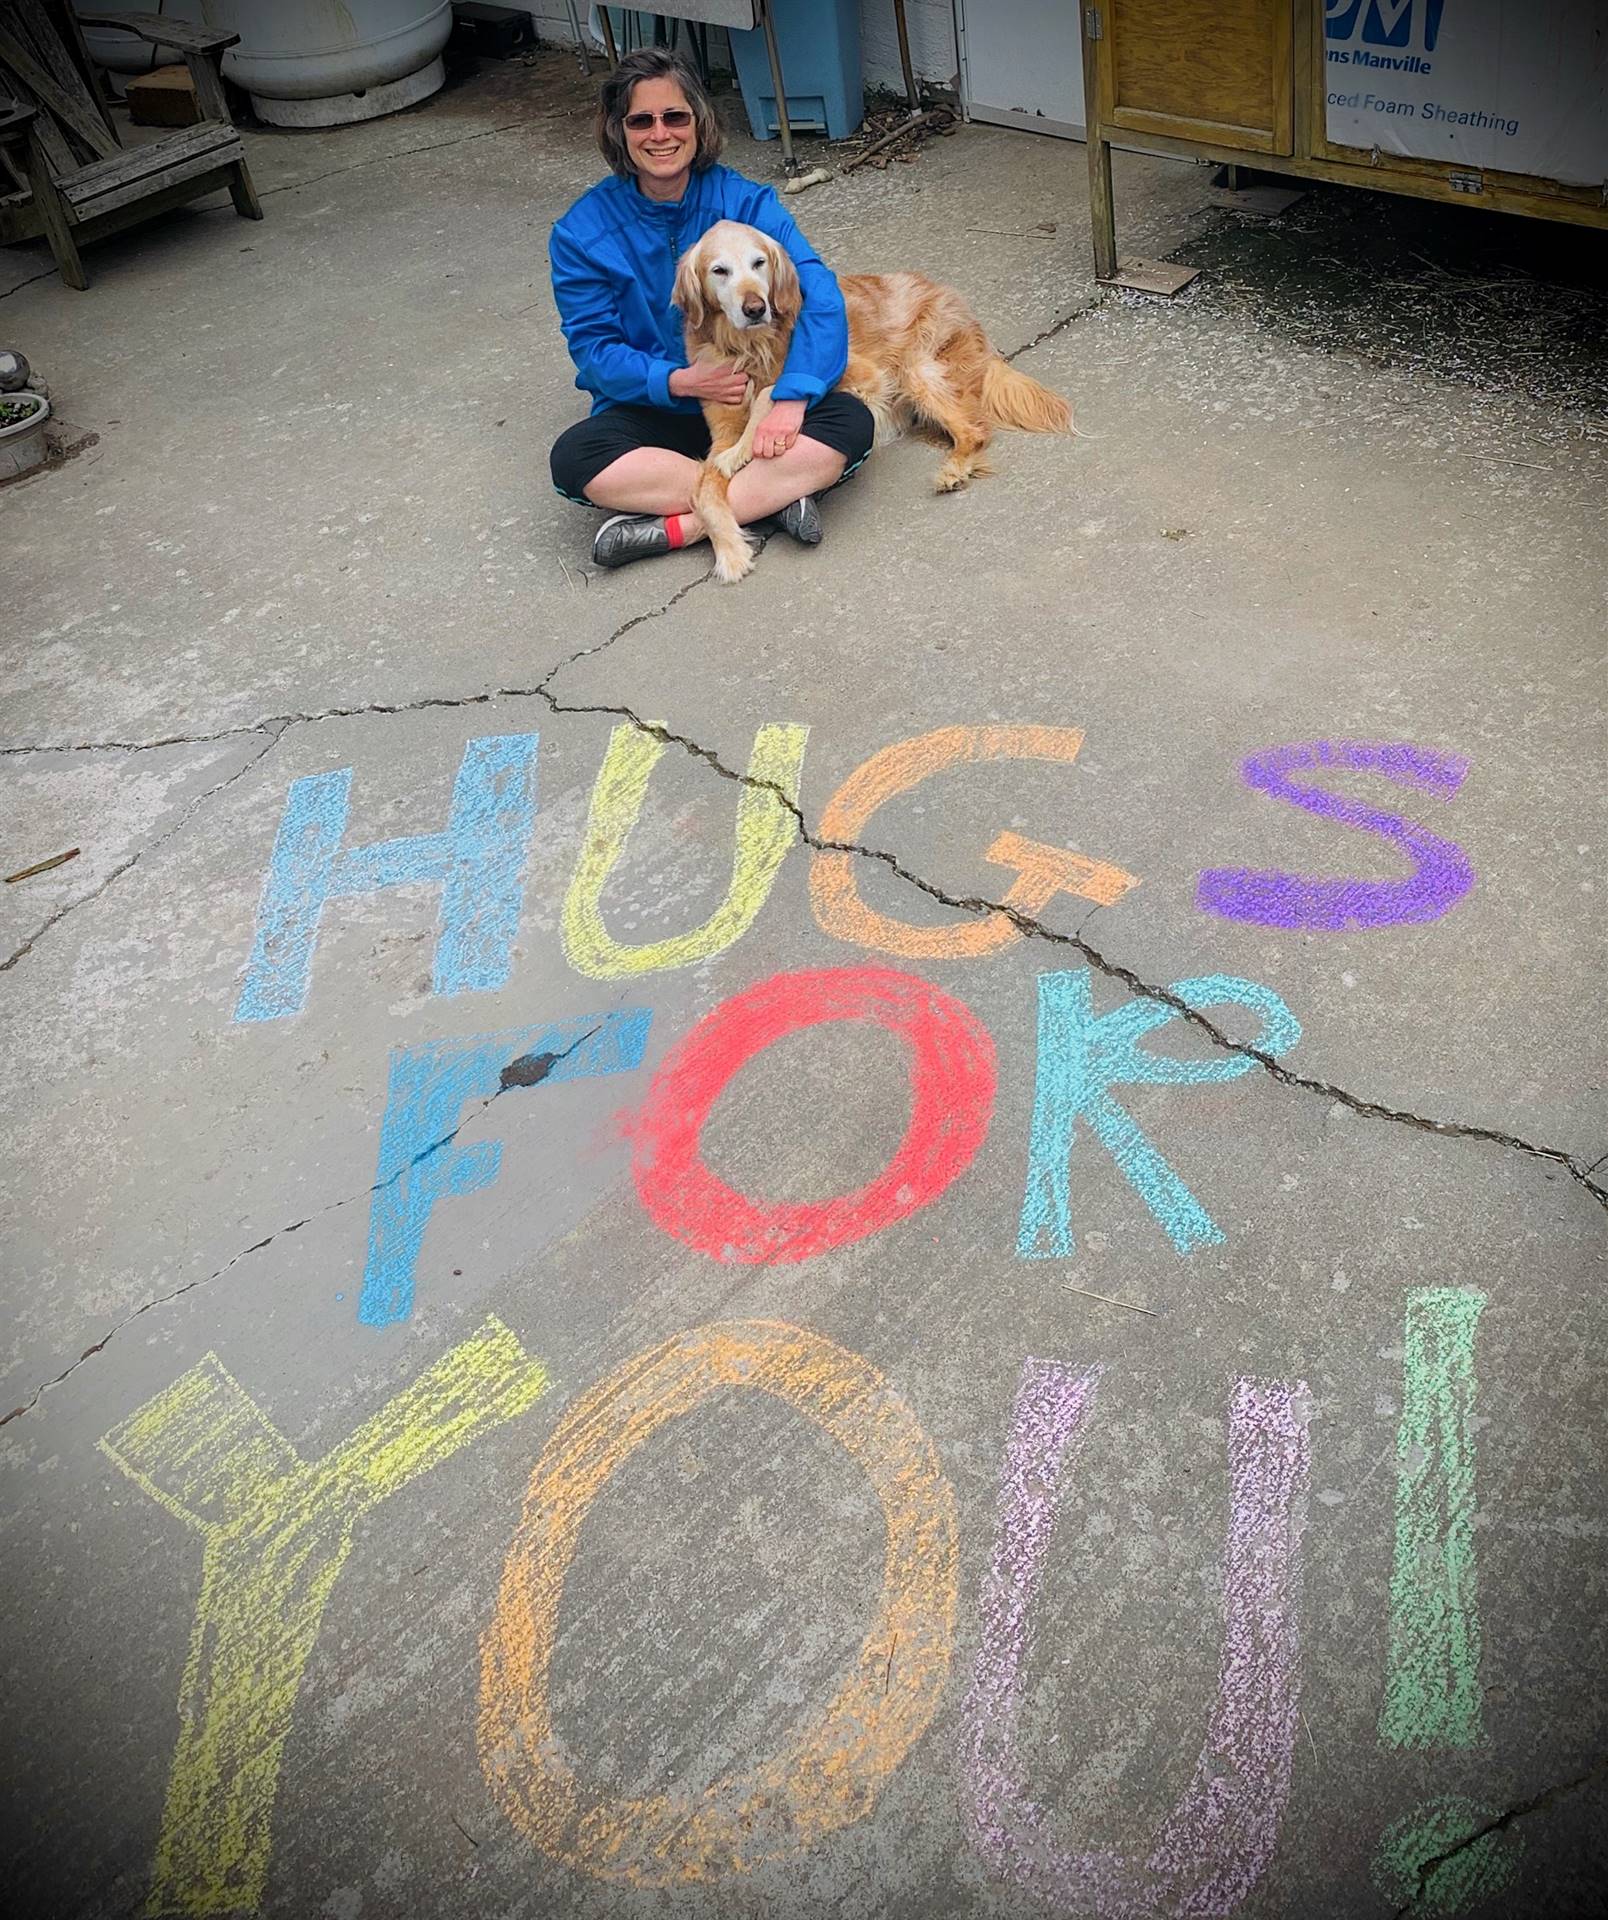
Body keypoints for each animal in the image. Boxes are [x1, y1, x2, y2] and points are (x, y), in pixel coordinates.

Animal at [675, 219, 1074, 579]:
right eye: (719, 270)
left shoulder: (861, 373)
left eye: (758, 262)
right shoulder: (721, 428)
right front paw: (730, 552)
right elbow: (705, 491)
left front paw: (743, 450)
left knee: (975, 431)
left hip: (915, 370)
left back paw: (954, 470)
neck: (751, 348)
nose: (755, 308)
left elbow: (772, 390)